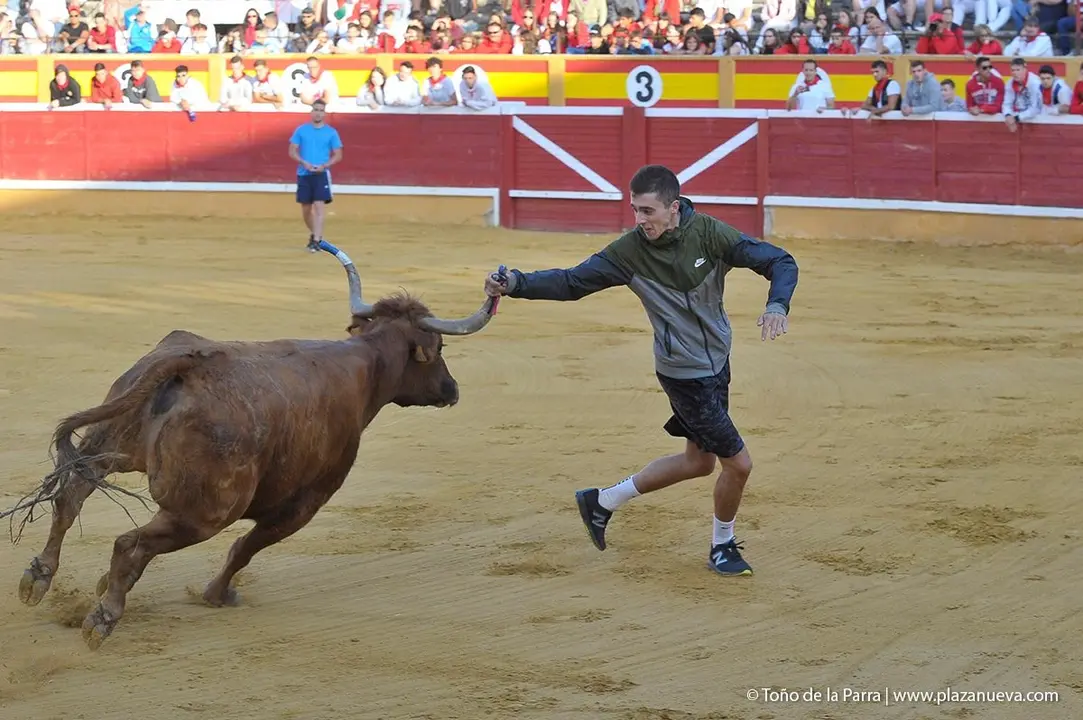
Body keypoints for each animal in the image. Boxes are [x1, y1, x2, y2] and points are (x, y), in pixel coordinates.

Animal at [6, 242, 500, 650]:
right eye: (437, 349)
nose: (451, 389)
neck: (365, 365)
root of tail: (190, 364)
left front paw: (102, 584)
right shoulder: (304, 503)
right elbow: (246, 547)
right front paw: (216, 595)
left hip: (110, 446)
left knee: (72, 496)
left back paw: (38, 579)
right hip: (204, 512)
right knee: (131, 542)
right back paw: (103, 619)